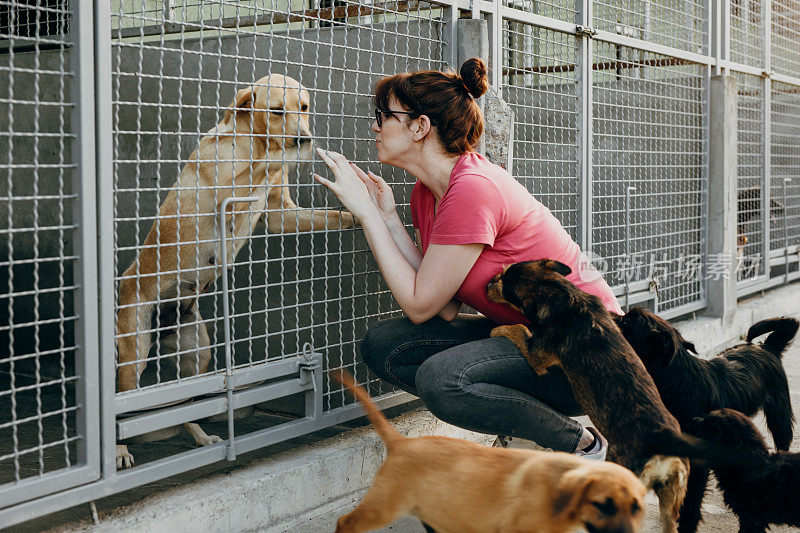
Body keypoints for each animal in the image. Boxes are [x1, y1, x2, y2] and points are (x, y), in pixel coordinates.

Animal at [116, 74, 356, 466]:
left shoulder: (281, 215)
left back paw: (201, 438)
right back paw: (120, 451)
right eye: (277, 110)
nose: (303, 136)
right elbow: (267, 162)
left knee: (187, 405)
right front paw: (294, 154)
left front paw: (358, 214)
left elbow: (331, 216)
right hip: (133, 354)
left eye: (304, 107)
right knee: (122, 407)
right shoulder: (229, 196)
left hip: (197, 354)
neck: (252, 141)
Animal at [484, 260, 692, 532]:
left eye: (502, 284)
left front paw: (498, 328)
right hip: (672, 496)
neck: (563, 294)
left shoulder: (537, 355)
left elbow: (518, 328)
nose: (487, 284)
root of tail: (665, 445)